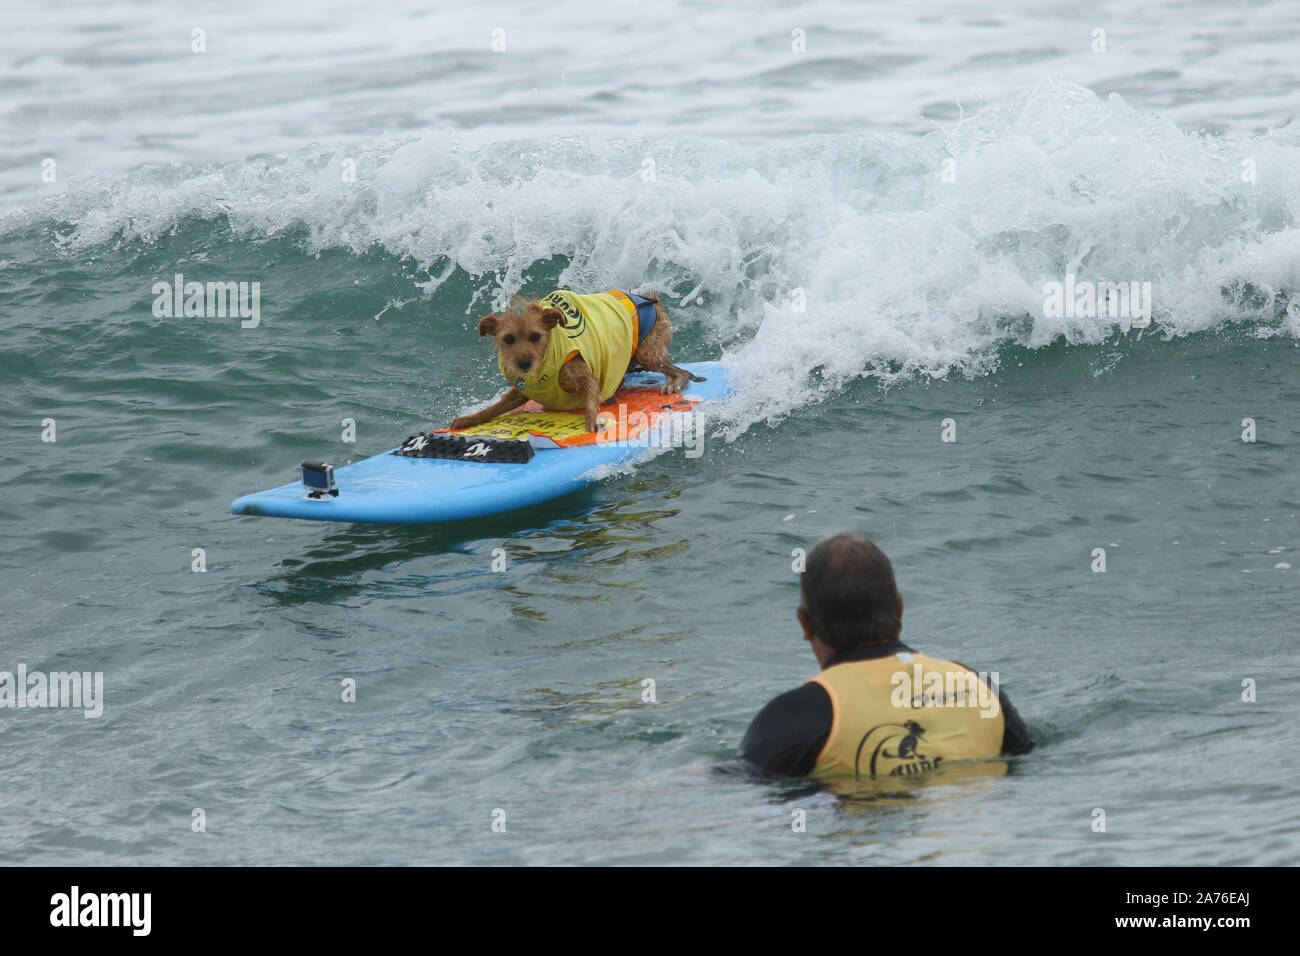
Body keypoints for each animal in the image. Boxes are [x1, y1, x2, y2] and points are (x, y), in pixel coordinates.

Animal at [452, 286, 707, 431]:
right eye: (508, 339)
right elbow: (493, 409)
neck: (547, 362)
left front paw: (592, 419)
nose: (523, 364)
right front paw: (469, 419)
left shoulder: (586, 376)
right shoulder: (520, 392)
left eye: (535, 336)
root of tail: (649, 298)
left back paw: (673, 383)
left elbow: (592, 396)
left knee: (683, 372)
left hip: (648, 352)